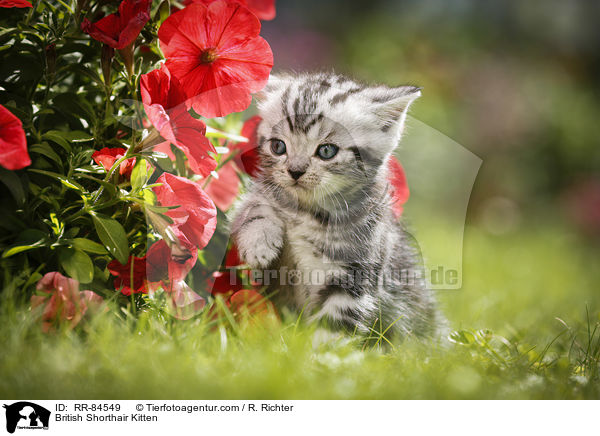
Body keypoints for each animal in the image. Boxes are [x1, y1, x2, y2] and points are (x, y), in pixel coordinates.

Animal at [232, 71, 442, 338]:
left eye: (327, 151)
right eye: (278, 146)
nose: (295, 171)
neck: (307, 213)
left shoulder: (354, 274)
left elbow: (333, 327)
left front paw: (320, 350)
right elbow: (255, 207)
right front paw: (259, 243)